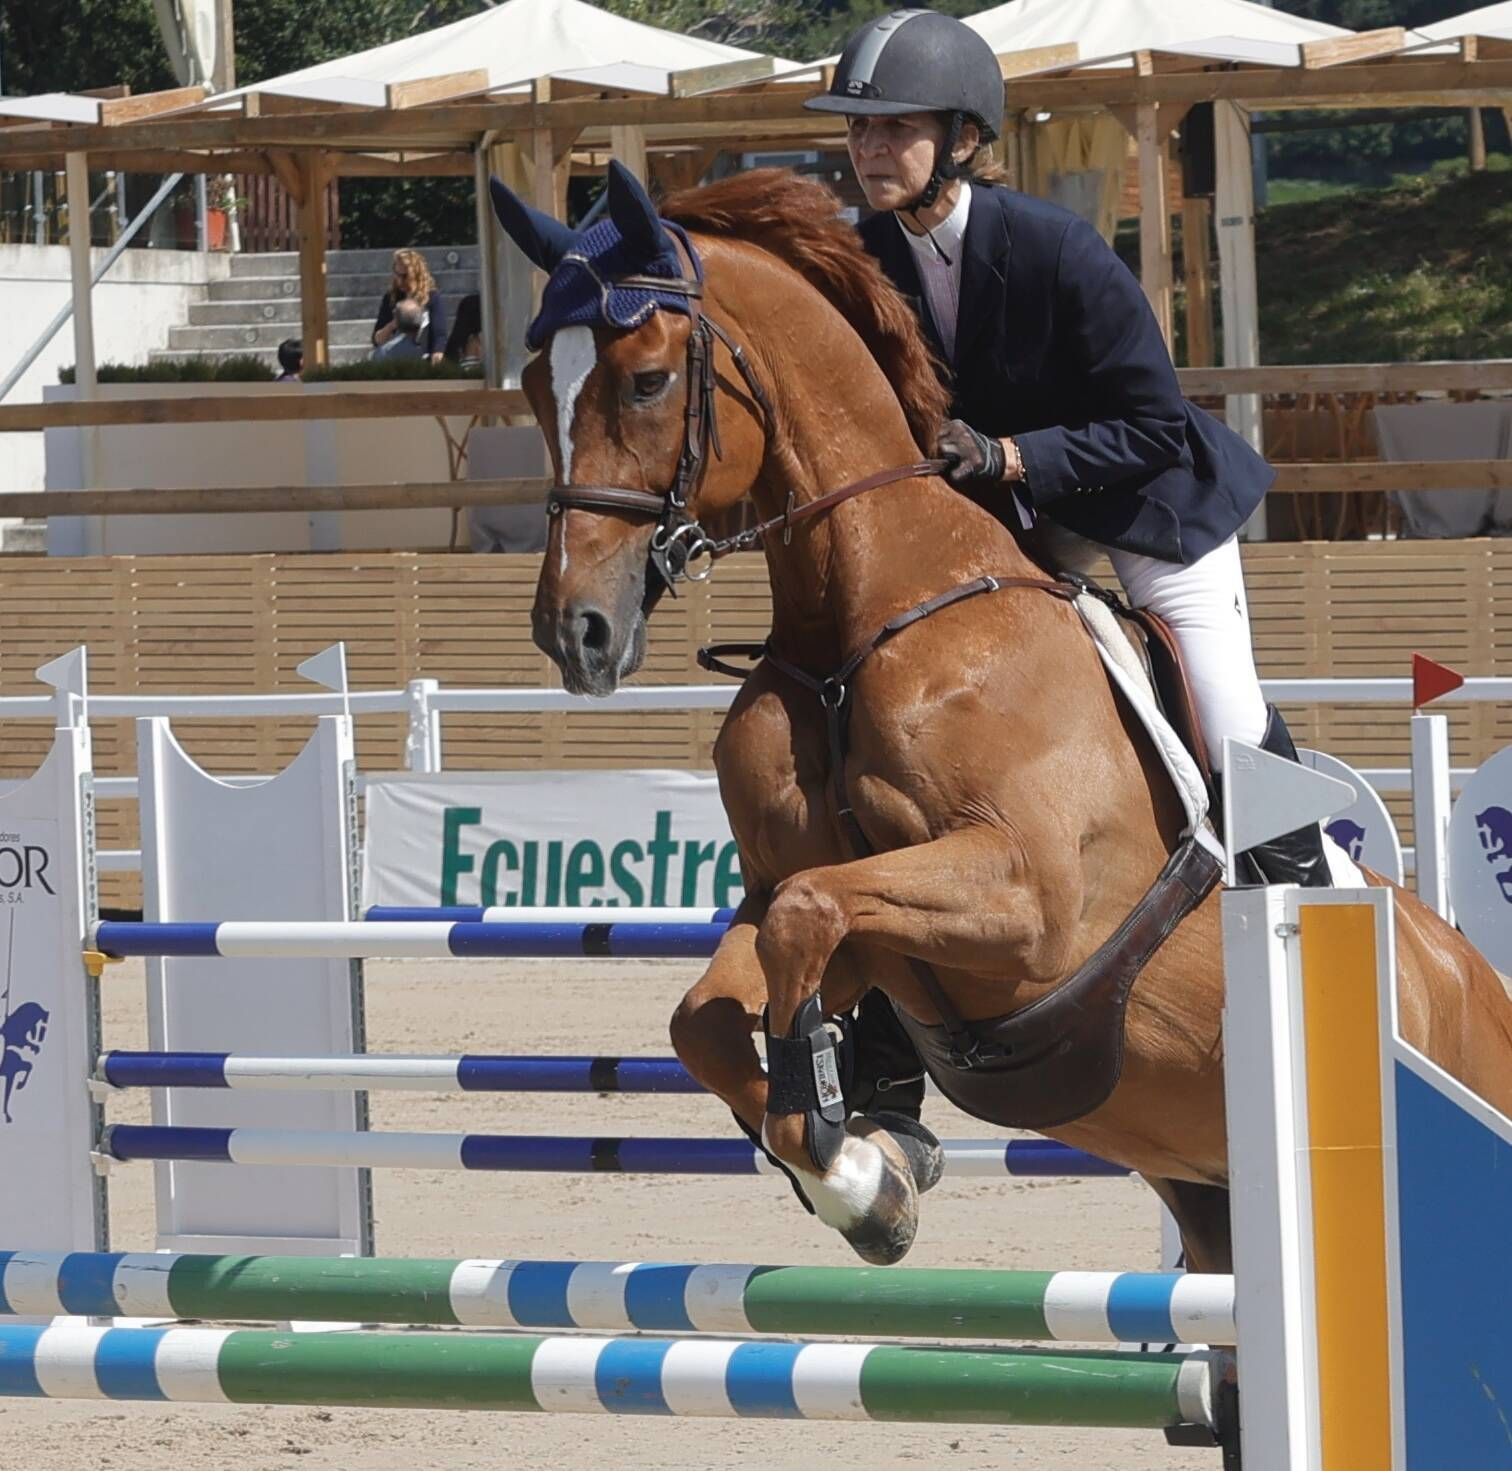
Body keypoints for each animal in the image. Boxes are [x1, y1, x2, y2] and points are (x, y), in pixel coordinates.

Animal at [492, 157, 1512, 1263]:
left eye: (646, 379)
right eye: (536, 390)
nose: (575, 630)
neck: (859, 621)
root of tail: (1470, 977)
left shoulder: (1027, 897)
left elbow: (809, 917)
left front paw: (855, 1162)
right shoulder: (819, 904)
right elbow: (718, 1005)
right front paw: (870, 1170)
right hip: (1214, 1201)